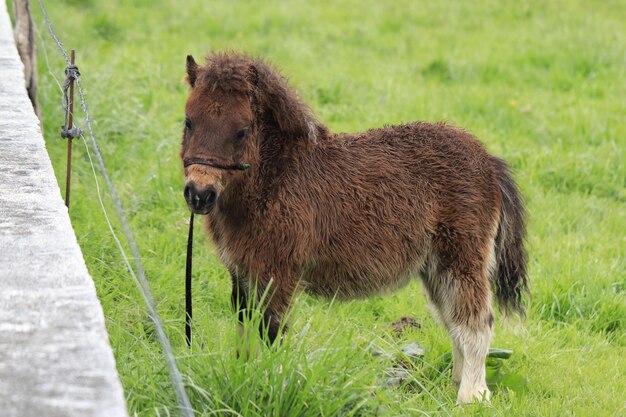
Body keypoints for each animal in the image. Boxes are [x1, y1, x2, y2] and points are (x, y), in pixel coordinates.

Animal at [180, 52, 528, 404]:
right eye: (188, 121)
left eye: (242, 131)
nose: (199, 194)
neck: (276, 178)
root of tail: (488, 162)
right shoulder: (242, 270)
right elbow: (245, 327)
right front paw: (243, 377)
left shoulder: (278, 271)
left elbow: (272, 331)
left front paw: (267, 386)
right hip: (435, 266)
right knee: (453, 320)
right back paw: (455, 382)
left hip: (462, 258)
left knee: (475, 322)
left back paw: (472, 396)